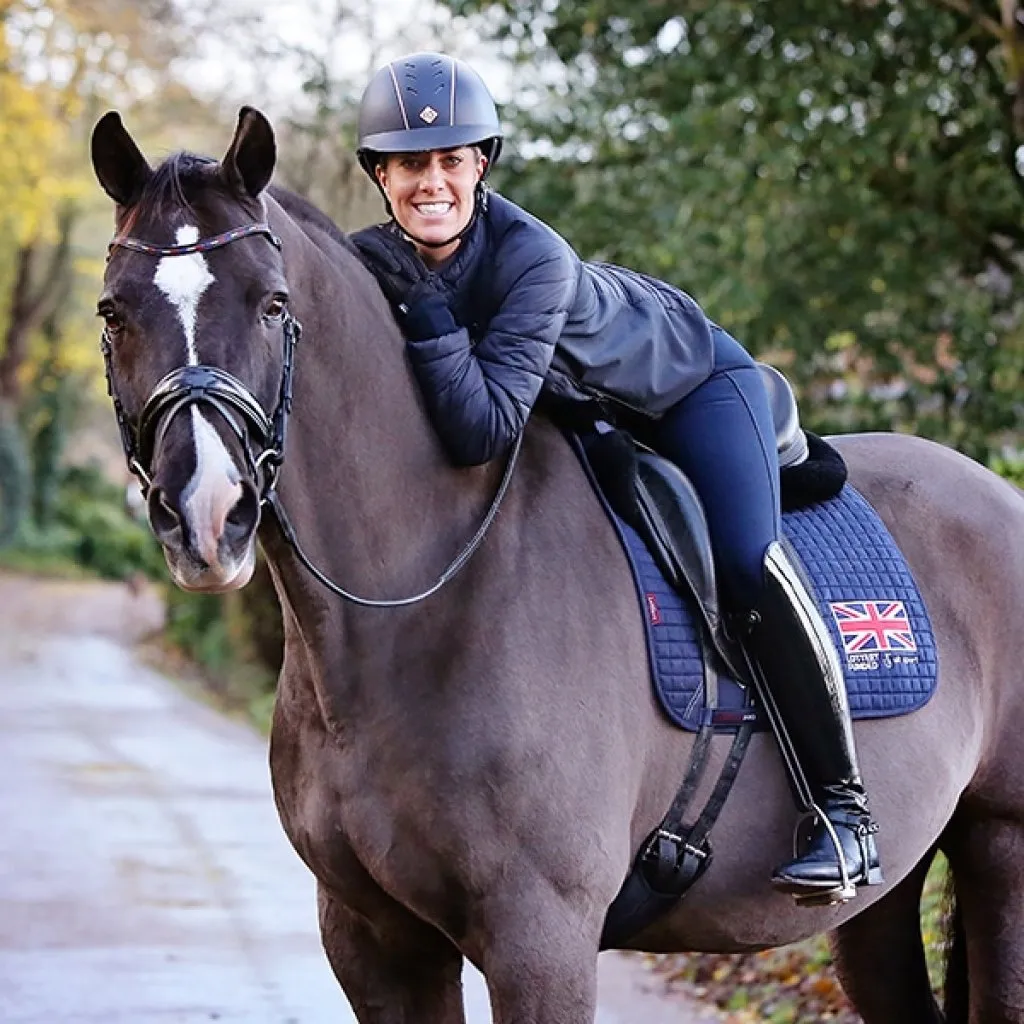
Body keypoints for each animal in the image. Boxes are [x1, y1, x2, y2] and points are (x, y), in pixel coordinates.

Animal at [88, 108, 1024, 1019]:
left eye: (274, 304)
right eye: (113, 312)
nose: (208, 515)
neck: (422, 602)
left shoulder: (540, 938)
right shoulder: (374, 941)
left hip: (999, 845)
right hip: (888, 897)